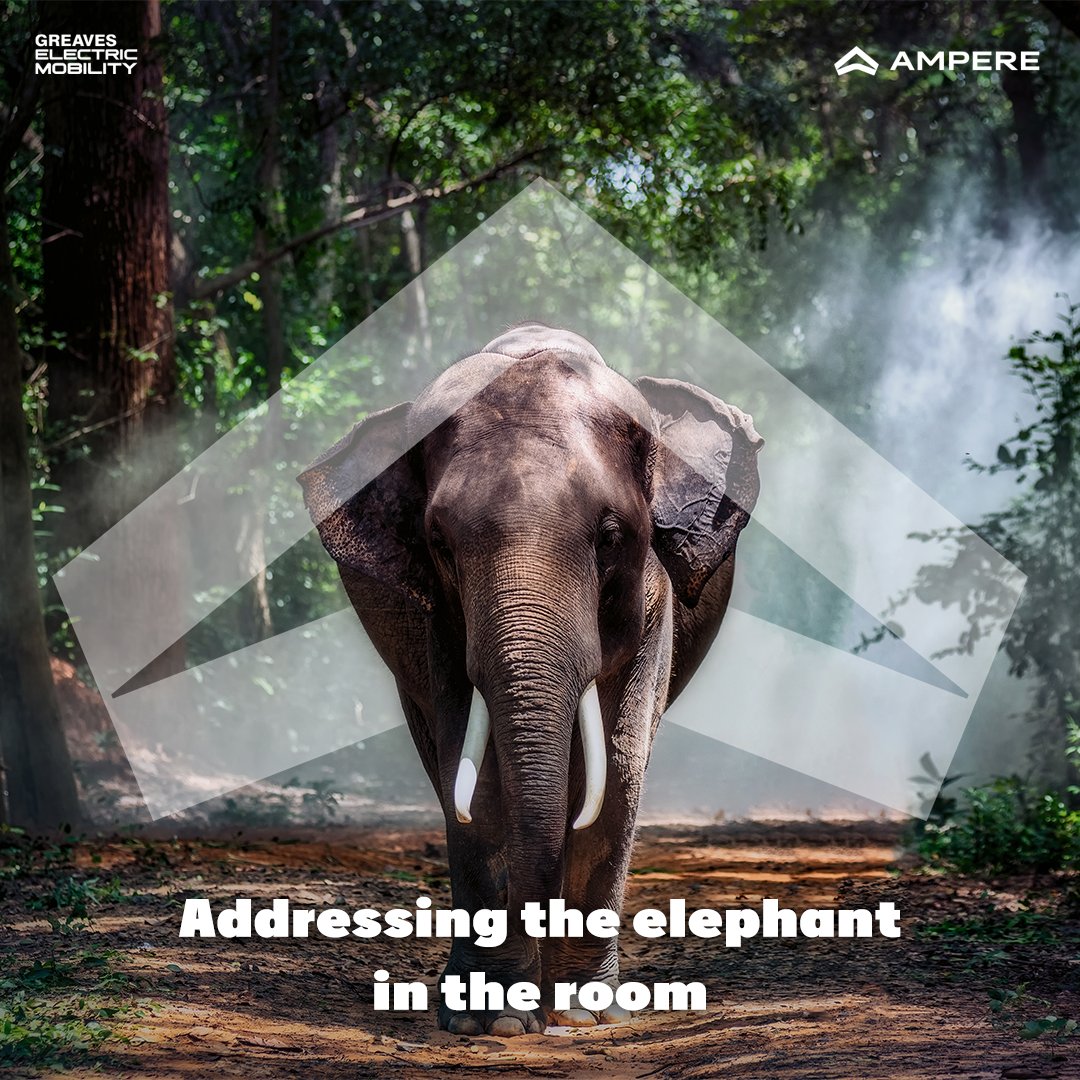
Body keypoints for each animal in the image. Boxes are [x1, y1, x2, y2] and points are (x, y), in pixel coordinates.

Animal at [298, 324, 763, 1036]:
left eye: (610, 535)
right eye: (439, 542)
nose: (540, 1007)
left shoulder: (652, 599)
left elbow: (619, 764)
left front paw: (583, 1013)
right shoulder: (439, 619)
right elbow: (474, 772)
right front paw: (490, 1020)